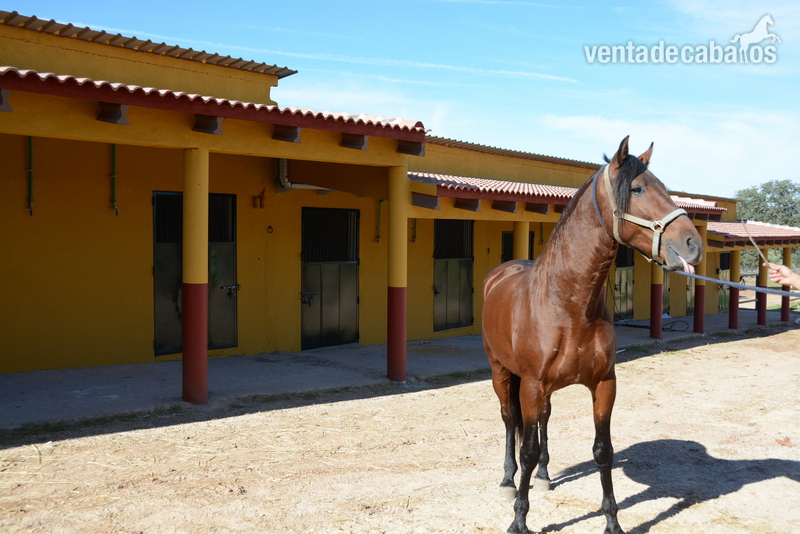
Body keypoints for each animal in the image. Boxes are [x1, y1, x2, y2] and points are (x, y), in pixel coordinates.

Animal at [482, 136, 703, 534]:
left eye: (664, 186)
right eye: (637, 188)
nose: (693, 244)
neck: (568, 303)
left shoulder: (604, 384)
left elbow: (603, 451)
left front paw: (612, 521)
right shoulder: (531, 384)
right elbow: (526, 448)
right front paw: (519, 520)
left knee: (543, 420)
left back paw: (544, 475)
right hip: (502, 373)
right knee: (509, 421)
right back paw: (508, 480)